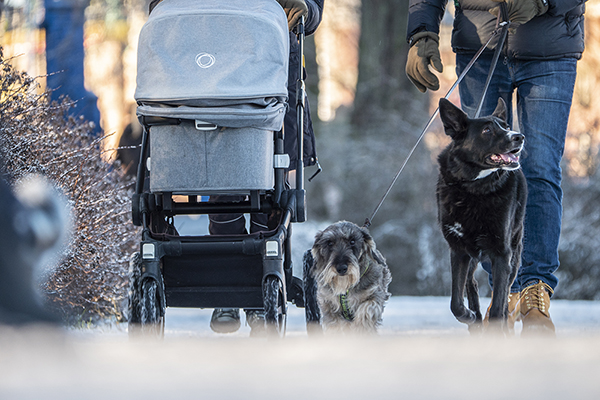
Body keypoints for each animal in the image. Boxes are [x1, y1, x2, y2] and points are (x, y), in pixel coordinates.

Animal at [436, 97, 524, 332]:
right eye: (487, 130)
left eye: (507, 126)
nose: (519, 137)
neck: (474, 188)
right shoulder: (458, 250)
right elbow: (455, 303)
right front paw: (468, 315)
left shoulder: (502, 254)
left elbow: (498, 306)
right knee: (470, 282)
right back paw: (474, 317)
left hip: (514, 250)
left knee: (504, 292)